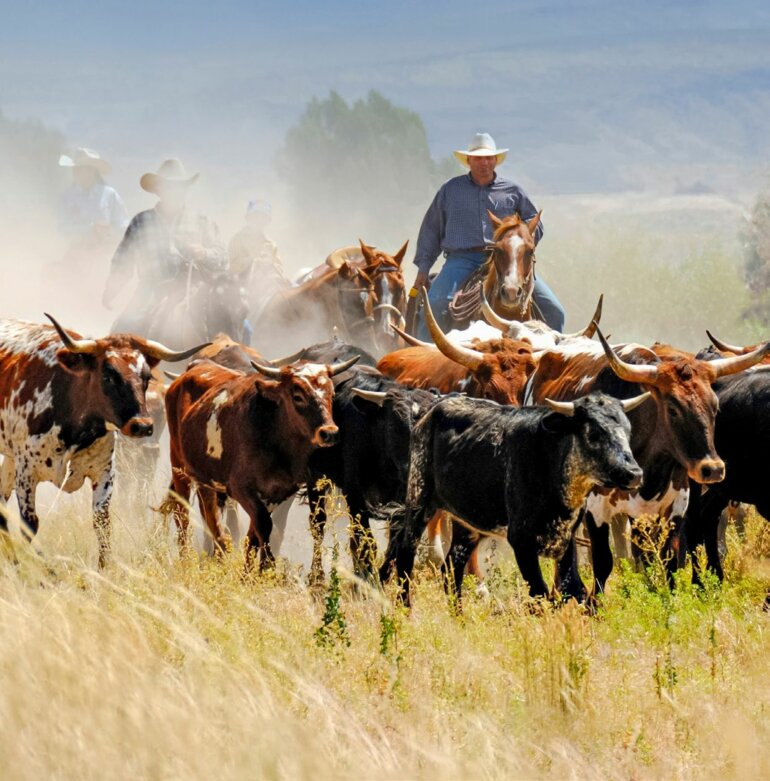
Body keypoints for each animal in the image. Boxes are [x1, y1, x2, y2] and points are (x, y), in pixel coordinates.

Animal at [0, 315, 207, 565]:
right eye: (108, 376)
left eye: (146, 377)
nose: (142, 426)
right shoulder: (27, 473)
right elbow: (30, 525)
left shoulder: (104, 472)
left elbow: (102, 525)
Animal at [163, 350, 358, 568]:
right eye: (297, 396)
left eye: (331, 394)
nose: (329, 433)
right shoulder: (241, 489)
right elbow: (263, 525)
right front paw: (267, 567)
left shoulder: (280, 492)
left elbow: (255, 535)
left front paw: (254, 570)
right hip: (179, 466)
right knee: (182, 514)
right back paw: (186, 558)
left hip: (205, 479)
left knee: (211, 517)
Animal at [379, 391, 648, 605]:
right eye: (594, 433)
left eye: (628, 431)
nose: (634, 473)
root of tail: (428, 411)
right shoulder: (521, 540)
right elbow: (540, 593)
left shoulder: (566, 539)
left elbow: (572, 590)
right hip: (419, 500)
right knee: (405, 557)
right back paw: (405, 610)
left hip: (467, 525)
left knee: (451, 569)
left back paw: (460, 619)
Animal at [525, 325, 770, 600]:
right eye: (672, 409)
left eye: (715, 407)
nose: (713, 469)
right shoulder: (596, 507)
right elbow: (603, 560)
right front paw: (593, 604)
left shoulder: (675, 502)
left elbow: (669, 558)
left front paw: (669, 599)